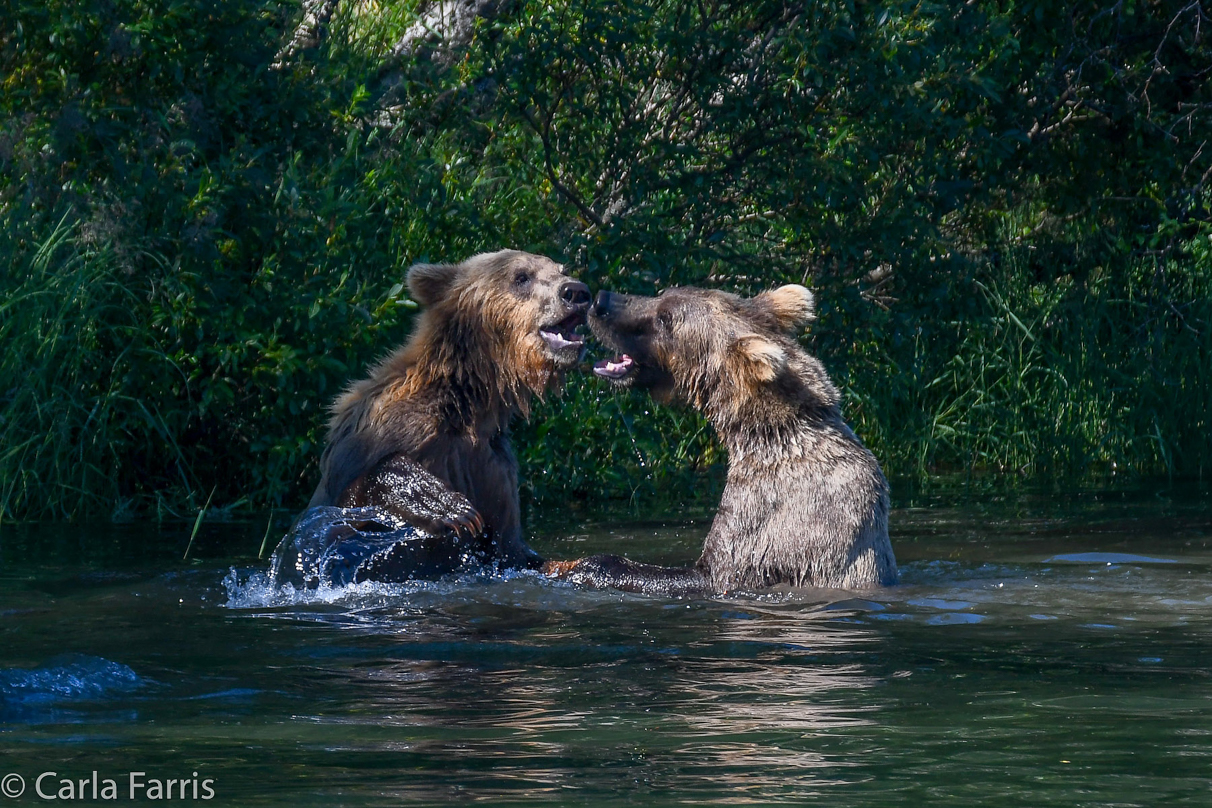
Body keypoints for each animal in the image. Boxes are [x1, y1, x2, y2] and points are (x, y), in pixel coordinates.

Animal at [276, 249, 596, 583]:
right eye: (521, 276)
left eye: (561, 270)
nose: (576, 292)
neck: (471, 399)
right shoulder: (374, 437)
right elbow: (333, 530)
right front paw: (444, 504)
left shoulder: (492, 466)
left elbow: (517, 554)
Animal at [545, 284, 896, 593]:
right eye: (663, 294)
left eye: (666, 318)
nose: (601, 301)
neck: (770, 433)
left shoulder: (770, 518)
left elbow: (714, 570)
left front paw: (584, 566)